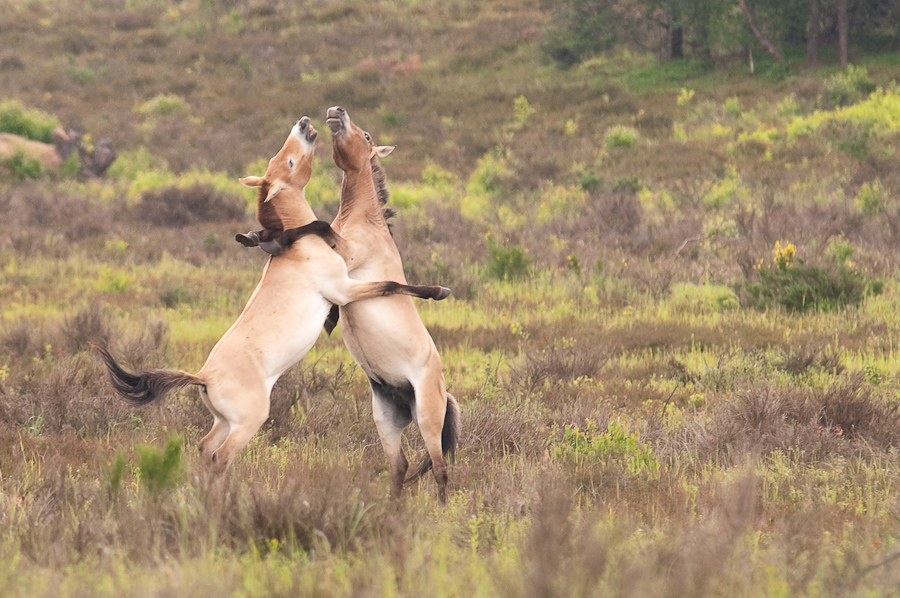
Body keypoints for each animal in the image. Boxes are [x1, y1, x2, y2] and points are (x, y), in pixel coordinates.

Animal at [96, 117, 451, 473]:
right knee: (221, 457)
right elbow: (390, 284)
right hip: (245, 425)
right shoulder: (343, 290)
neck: (299, 248)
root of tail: (203, 376)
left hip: (222, 423)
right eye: (289, 162)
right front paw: (439, 291)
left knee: (204, 448)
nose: (304, 123)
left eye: (276, 159)